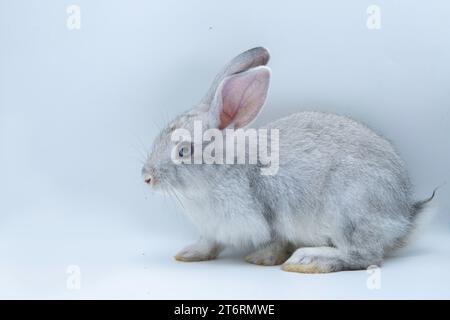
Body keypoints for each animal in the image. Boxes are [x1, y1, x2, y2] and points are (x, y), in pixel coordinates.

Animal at [142, 47, 434, 272]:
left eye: (184, 151)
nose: (147, 177)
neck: (222, 170)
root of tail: (404, 216)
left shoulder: (270, 215)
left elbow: (276, 241)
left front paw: (261, 259)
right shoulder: (213, 230)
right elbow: (209, 242)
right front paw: (189, 253)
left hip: (349, 208)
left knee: (365, 256)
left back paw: (308, 260)